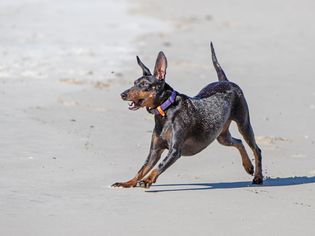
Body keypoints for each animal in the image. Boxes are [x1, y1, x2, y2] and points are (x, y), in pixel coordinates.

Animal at [112, 43, 262, 189]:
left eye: (144, 84)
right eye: (134, 83)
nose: (122, 94)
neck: (166, 110)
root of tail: (226, 81)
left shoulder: (174, 151)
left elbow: (159, 166)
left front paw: (148, 180)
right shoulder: (154, 151)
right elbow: (142, 169)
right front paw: (127, 182)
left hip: (243, 124)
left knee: (256, 148)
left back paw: (258, 176)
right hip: (221, 136)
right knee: (239, 142)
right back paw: (248, 166)